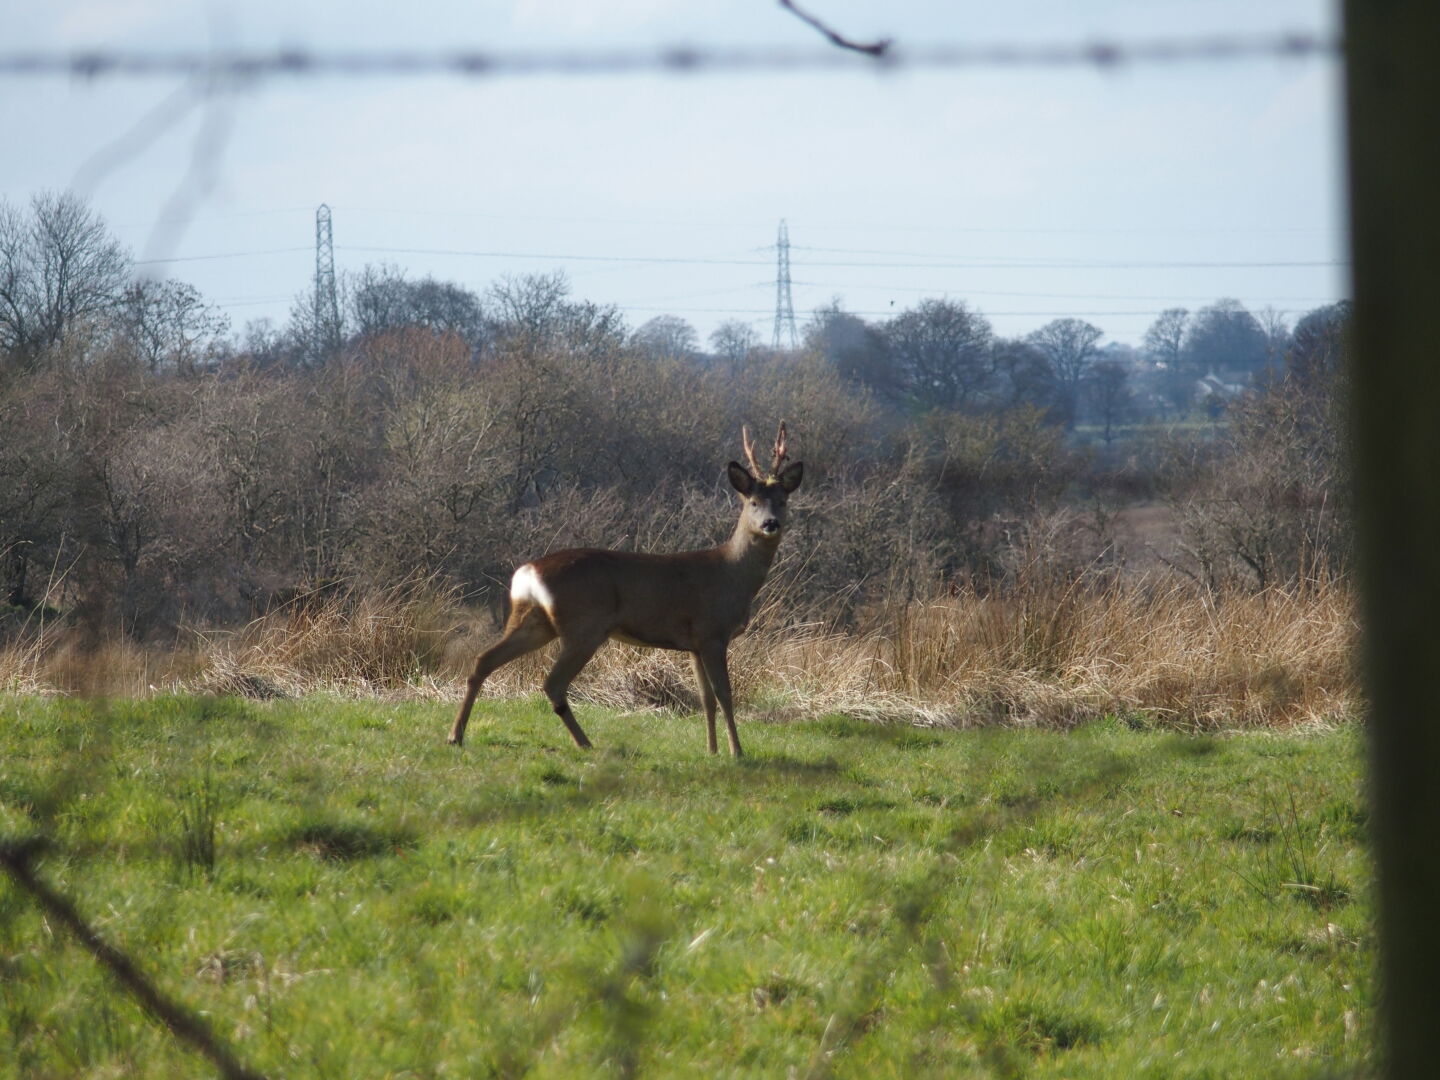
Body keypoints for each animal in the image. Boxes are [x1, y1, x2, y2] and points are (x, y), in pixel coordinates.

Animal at [449, 422, 803, 757]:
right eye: (753, 501)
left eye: (783, 501)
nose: (771, 523)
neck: (733, 576)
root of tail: (528, 573)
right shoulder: (712, 631)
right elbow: (724, 695)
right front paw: (736, 752)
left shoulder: (693, 643)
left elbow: (705, 698)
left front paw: (712, 750)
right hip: (584, 625)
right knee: (552, 683)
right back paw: (584, 743)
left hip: (534, 620)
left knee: (483, 660)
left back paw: (456, 735)